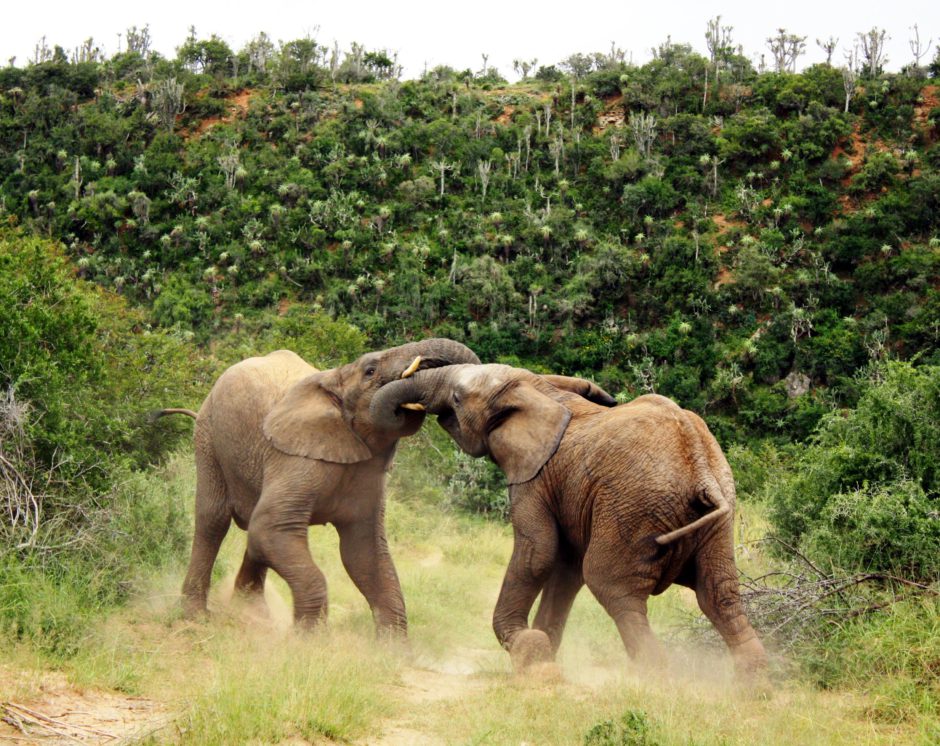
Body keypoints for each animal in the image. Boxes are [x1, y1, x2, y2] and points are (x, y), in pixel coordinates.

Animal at [156, 338, 478, 632]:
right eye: (370, 371)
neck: (334, 377)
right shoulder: (295, 458)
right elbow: (272, 527)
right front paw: (310, 642)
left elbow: (364, 551)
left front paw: (393, 651)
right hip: (208, 436)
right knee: (214, 519)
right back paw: (196, 617)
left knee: (255, 534)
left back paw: (253, 615)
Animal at [370, 362, 768, 676]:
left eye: (455, 398)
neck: (538, 388)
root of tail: (699, 466)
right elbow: (565, 570)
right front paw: (544, 658)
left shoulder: (534, 479)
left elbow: (538, 553)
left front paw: (527, 649)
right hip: (717, 521)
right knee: (719, 595)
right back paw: (752, 688)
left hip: (632, 510)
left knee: (612, 586)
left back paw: (654, 680)